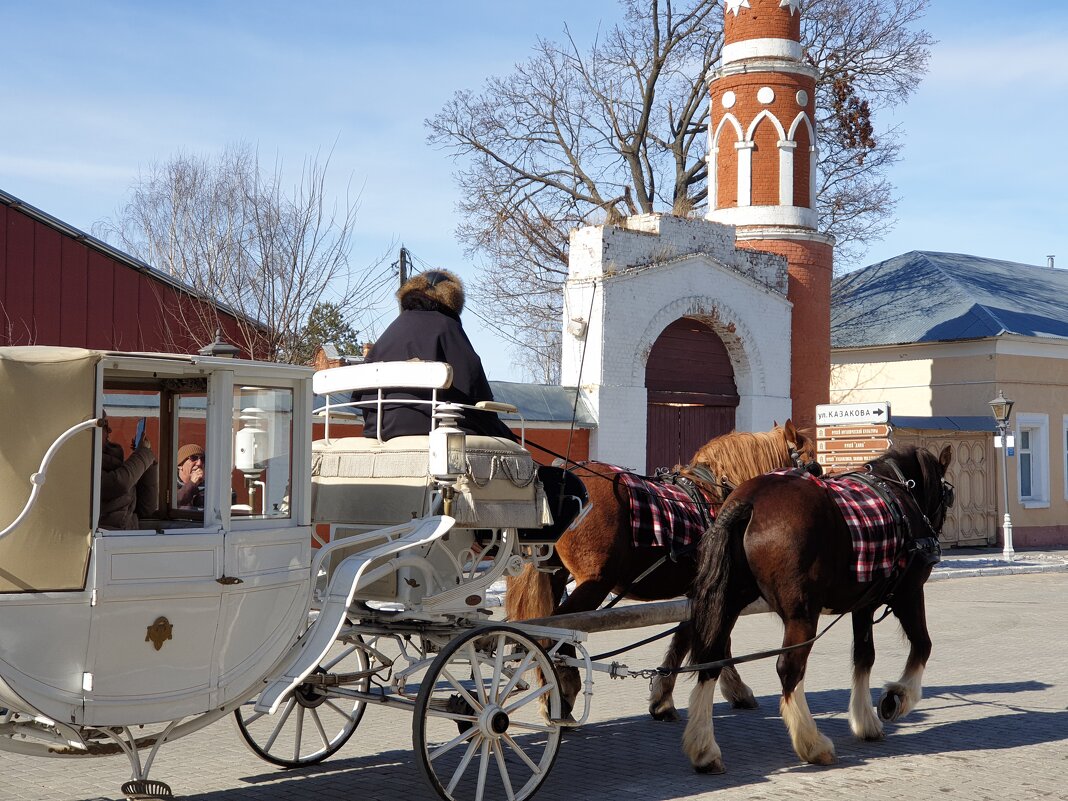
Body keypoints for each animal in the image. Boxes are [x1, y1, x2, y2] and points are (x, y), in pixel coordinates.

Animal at [506, 420, 815, 721]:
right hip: (594, 583)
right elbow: (704, 639)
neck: (717, 495)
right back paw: (564, 691)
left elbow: (701, 638)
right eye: (813, 465)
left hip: (556, 576)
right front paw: (666, 698)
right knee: (557, 631)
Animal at [679, 446, 956, 777]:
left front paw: (865, 721)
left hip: (728, 602)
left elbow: (864, 656)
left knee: (710, 660)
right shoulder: (909, 593)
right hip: (802, 615)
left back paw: (704, 749)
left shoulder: (863, 604)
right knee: (789, 669)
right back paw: (811, 743)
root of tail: (749, 501)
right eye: (946, 494)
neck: (899, 494)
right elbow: (923, 645)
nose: (939, 539)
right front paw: (897, 698)